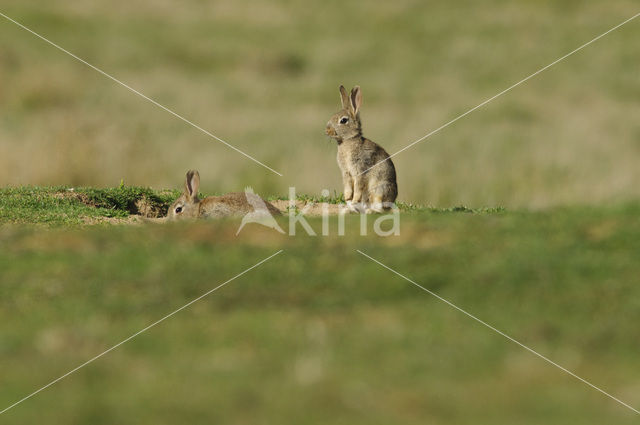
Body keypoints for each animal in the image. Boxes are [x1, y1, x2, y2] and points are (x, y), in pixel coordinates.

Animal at [324, 85, 396, 214]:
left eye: (343, 120)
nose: (327, 130)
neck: (348, 141)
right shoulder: (346, 172)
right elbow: (348, 186)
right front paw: (348, 197)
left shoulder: (361, 169)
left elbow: (359, 186)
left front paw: (354, 198)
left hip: (379, 190)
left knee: (381, 209)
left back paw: (369, 211)